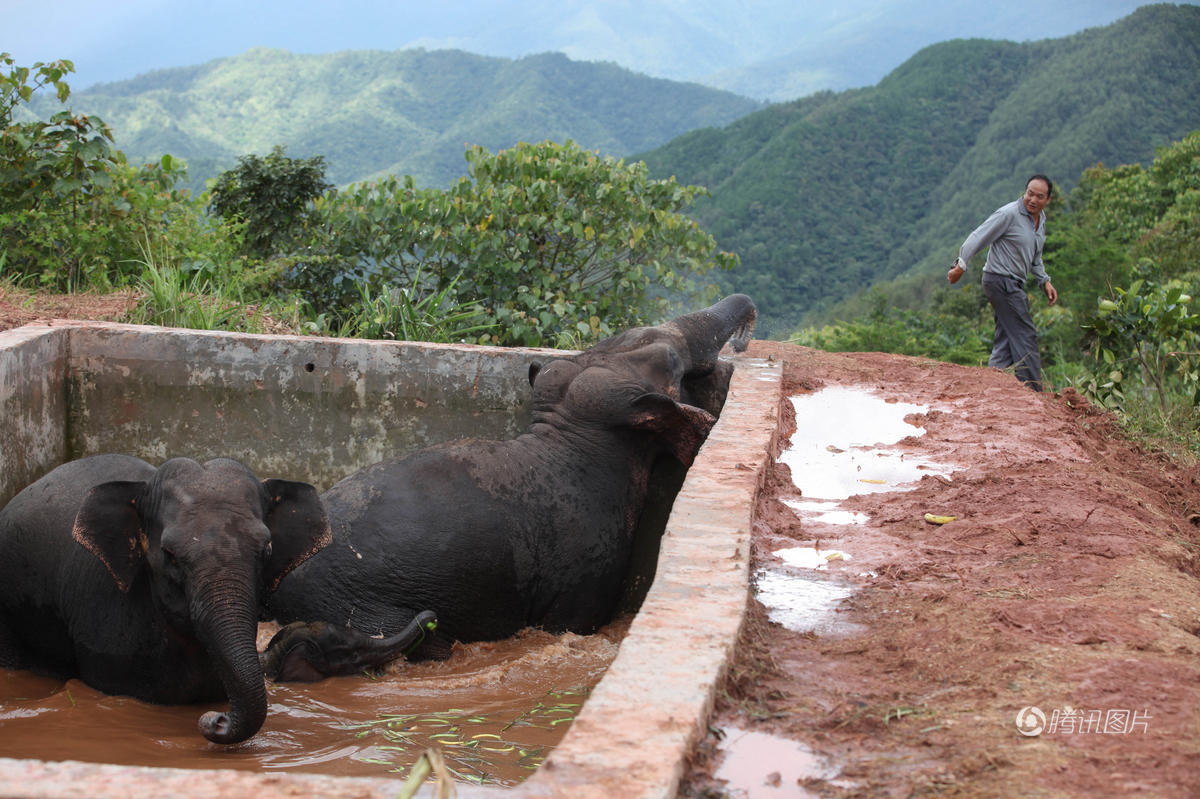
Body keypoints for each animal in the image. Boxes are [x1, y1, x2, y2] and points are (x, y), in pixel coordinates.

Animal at [267, 293, 758, 676]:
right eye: (671, 363)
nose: (742, 341)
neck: (566, 433)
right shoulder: (585, 566)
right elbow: (572, 621)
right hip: (362, 608)